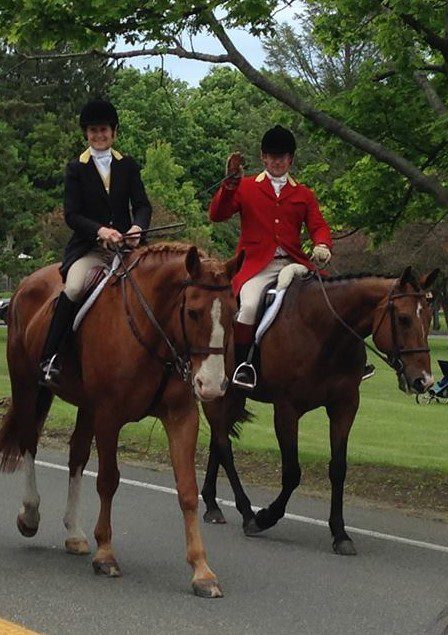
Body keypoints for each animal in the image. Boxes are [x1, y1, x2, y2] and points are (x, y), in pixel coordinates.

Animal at [0, 241, 242, 600]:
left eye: (233, 312)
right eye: (193, 312)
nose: (211, 386)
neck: (155, 328)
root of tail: (27, 283)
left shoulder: (181, 416)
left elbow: (187, 490)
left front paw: (202, 571)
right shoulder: (109, 414)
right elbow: (108, 480)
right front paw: (105, 554)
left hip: (84, 406)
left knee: (76, 455)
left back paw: (74, 532)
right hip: (27, 385)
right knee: (30, 440)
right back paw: (30, 515)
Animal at [201, 266, 440, 556]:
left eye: (427, 316)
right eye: (403, 319)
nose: (424, 381)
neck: (324, 331)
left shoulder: (344, 407)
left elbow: (338, 469)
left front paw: (340, 533)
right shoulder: (287, 410)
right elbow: (292, 473)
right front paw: (265, 517)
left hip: (234, 396)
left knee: (218, 440)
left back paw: (212, 505)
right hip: (216, 393)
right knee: (224, 446)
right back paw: (247, 513)